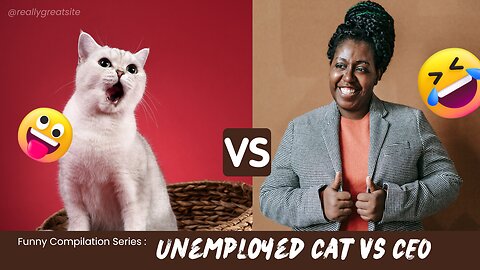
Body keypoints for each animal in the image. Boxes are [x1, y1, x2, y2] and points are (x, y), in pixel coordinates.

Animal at [58, 31, 178, 230]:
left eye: (132, 69)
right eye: (104, 63)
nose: (121, 72)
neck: (99, 127)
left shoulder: (131, 194)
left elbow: (133, 225)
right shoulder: (72, 193)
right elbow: (78, 226)